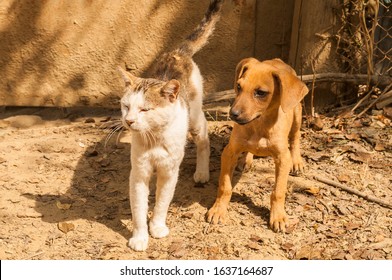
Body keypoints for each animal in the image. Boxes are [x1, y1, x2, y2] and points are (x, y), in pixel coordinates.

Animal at [118, 0, 224, 249]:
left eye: (145, 109)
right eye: (126, 106)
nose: (129, 121)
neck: (154, 137)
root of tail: (177, 52)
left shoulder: (169, 170)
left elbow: (162, 203)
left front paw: (157, 227)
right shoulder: (139, 172)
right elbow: (139, 209)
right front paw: (139, 238)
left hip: (194, 118)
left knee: (205, 137)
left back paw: (202, 172)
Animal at [207, 57, 308, 232]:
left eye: (260, 93)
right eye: (239, 86)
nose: (232, 114)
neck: (259, 125)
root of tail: (278, 60)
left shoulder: (282, 158)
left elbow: (278, 191)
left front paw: (278, 216)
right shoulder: (229, 152)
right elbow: (225, 186)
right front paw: (218, 210)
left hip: (297, 114)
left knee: (295, 138)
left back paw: (297, 162)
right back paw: (246, 160)